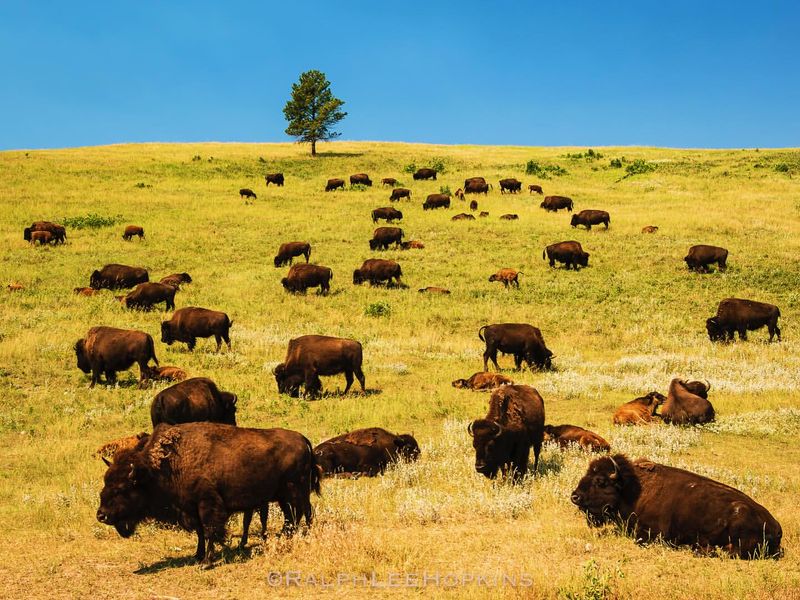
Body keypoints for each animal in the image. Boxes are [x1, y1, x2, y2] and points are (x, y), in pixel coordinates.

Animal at [100, 422, 322, 568]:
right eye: (105, 483)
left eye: (122, 488)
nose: (101, 515)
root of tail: (303, 439)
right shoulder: (191, 508)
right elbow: (200, 532)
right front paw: (197, 556)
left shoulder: (207, 504)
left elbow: (209, 531)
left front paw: (206, 562)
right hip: (283, 496)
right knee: (291, 516)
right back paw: (286, 536)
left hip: (298, 491)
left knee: (306, 512)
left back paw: (305, 535)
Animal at [572, 454, 784, 556]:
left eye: (600, 481)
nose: (575, 497)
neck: (632, 490)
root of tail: (776, 526)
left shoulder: (651, 533)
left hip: (739, 518)